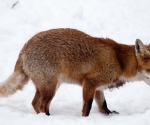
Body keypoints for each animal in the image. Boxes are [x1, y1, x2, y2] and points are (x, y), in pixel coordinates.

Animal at [0, 27, 150, 116]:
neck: (120, 61)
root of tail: (23, 49)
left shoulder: (98, 87)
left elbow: (103, 104)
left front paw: (107, 115)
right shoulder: (89, 82)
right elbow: (87, 106)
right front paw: (85, 119)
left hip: (46, 87)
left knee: (34, 103)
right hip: (50, 88)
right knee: (42, 105)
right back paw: (48, 118)